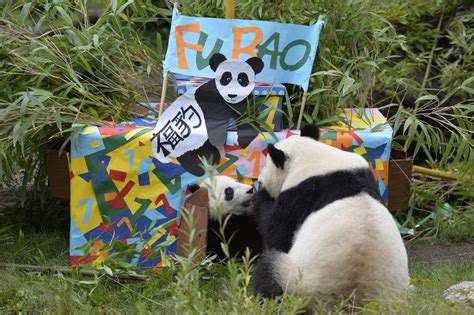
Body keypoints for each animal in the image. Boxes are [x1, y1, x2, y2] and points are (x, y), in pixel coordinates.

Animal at [250, 126, 410, 306]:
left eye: (266, 166)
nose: (260, 180)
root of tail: (351, 300)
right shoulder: (363, 172)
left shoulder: (301, 194)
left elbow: (277, 232)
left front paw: (260, 195)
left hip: (298, 282)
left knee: (268, 273)